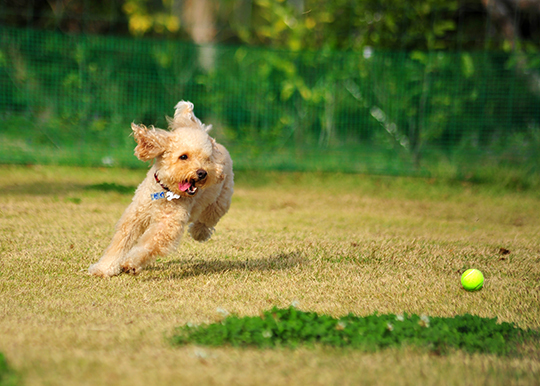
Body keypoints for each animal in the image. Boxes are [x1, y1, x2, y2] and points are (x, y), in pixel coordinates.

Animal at [88, 102, 232, 278]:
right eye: (183, 157)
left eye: (207, 159)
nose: (202, 173)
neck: (165, 191)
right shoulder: (135, 216)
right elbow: (120, 242)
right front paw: (104, 268)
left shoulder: (167, 224)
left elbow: (148, 244)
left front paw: (131, 263)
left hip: (220, 201)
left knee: (207, 219)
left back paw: (199, 232)